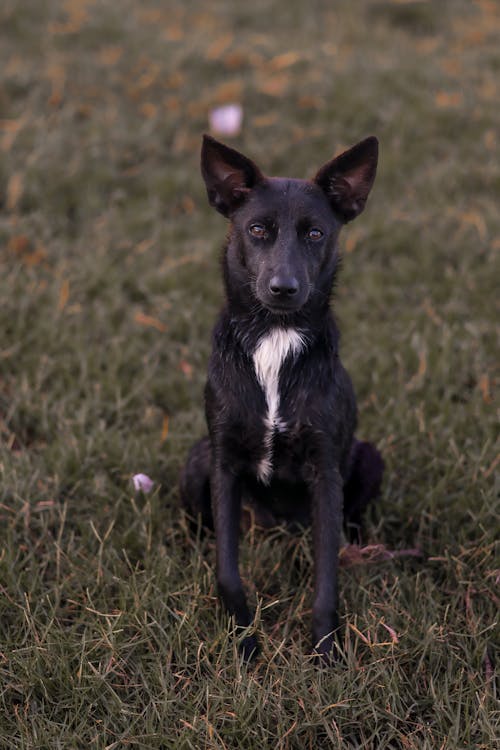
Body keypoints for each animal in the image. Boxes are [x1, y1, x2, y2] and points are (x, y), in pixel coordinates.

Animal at [182, 135, 384, 664]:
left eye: (315, 233)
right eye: (257, 230)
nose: (284, 288)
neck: (275, 336)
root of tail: (277, 529)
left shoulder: (324, 470)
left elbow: (326, 579)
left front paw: (325, 652)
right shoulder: (224, 462)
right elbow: (227, 571)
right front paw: (244, 642)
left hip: (369, 459)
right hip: (197, 459)